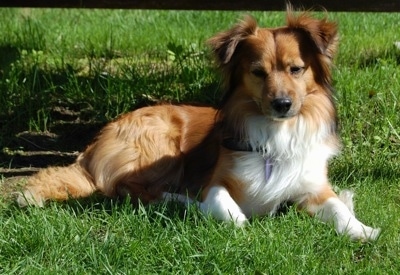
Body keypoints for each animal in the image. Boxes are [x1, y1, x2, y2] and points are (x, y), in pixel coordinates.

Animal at [15, 8, 378, 242]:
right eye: (258, 72)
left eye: (296, 69)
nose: (282, 105)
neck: (276, 132)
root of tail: (94, 145)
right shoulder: (217, 180)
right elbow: (225, 206)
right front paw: (235, 220)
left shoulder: (312, 186)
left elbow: (337, 207)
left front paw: (362, 229)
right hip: (161, 142)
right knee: (128, 190)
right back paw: (182, 201)